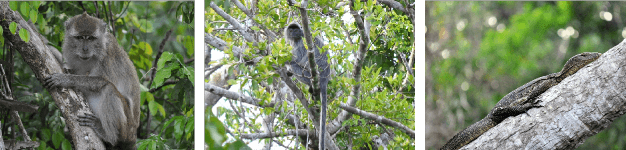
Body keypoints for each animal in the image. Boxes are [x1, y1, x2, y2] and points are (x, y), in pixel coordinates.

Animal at [43, 12, 140, 150]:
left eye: (91, 38)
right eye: (79, 38)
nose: (85, 49)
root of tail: (133, 137)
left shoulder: (107, 54)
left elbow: (101, 80)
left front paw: (63, 79)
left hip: (126, 129)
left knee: (109, 89)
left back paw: (108, 135)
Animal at [284, 22, 332, 150]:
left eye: (296, 30)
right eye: (291, 30)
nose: (294, 33)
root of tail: (325, 78)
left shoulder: (300, 41)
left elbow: (297, 59)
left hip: (308, 74)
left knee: (296, 64)